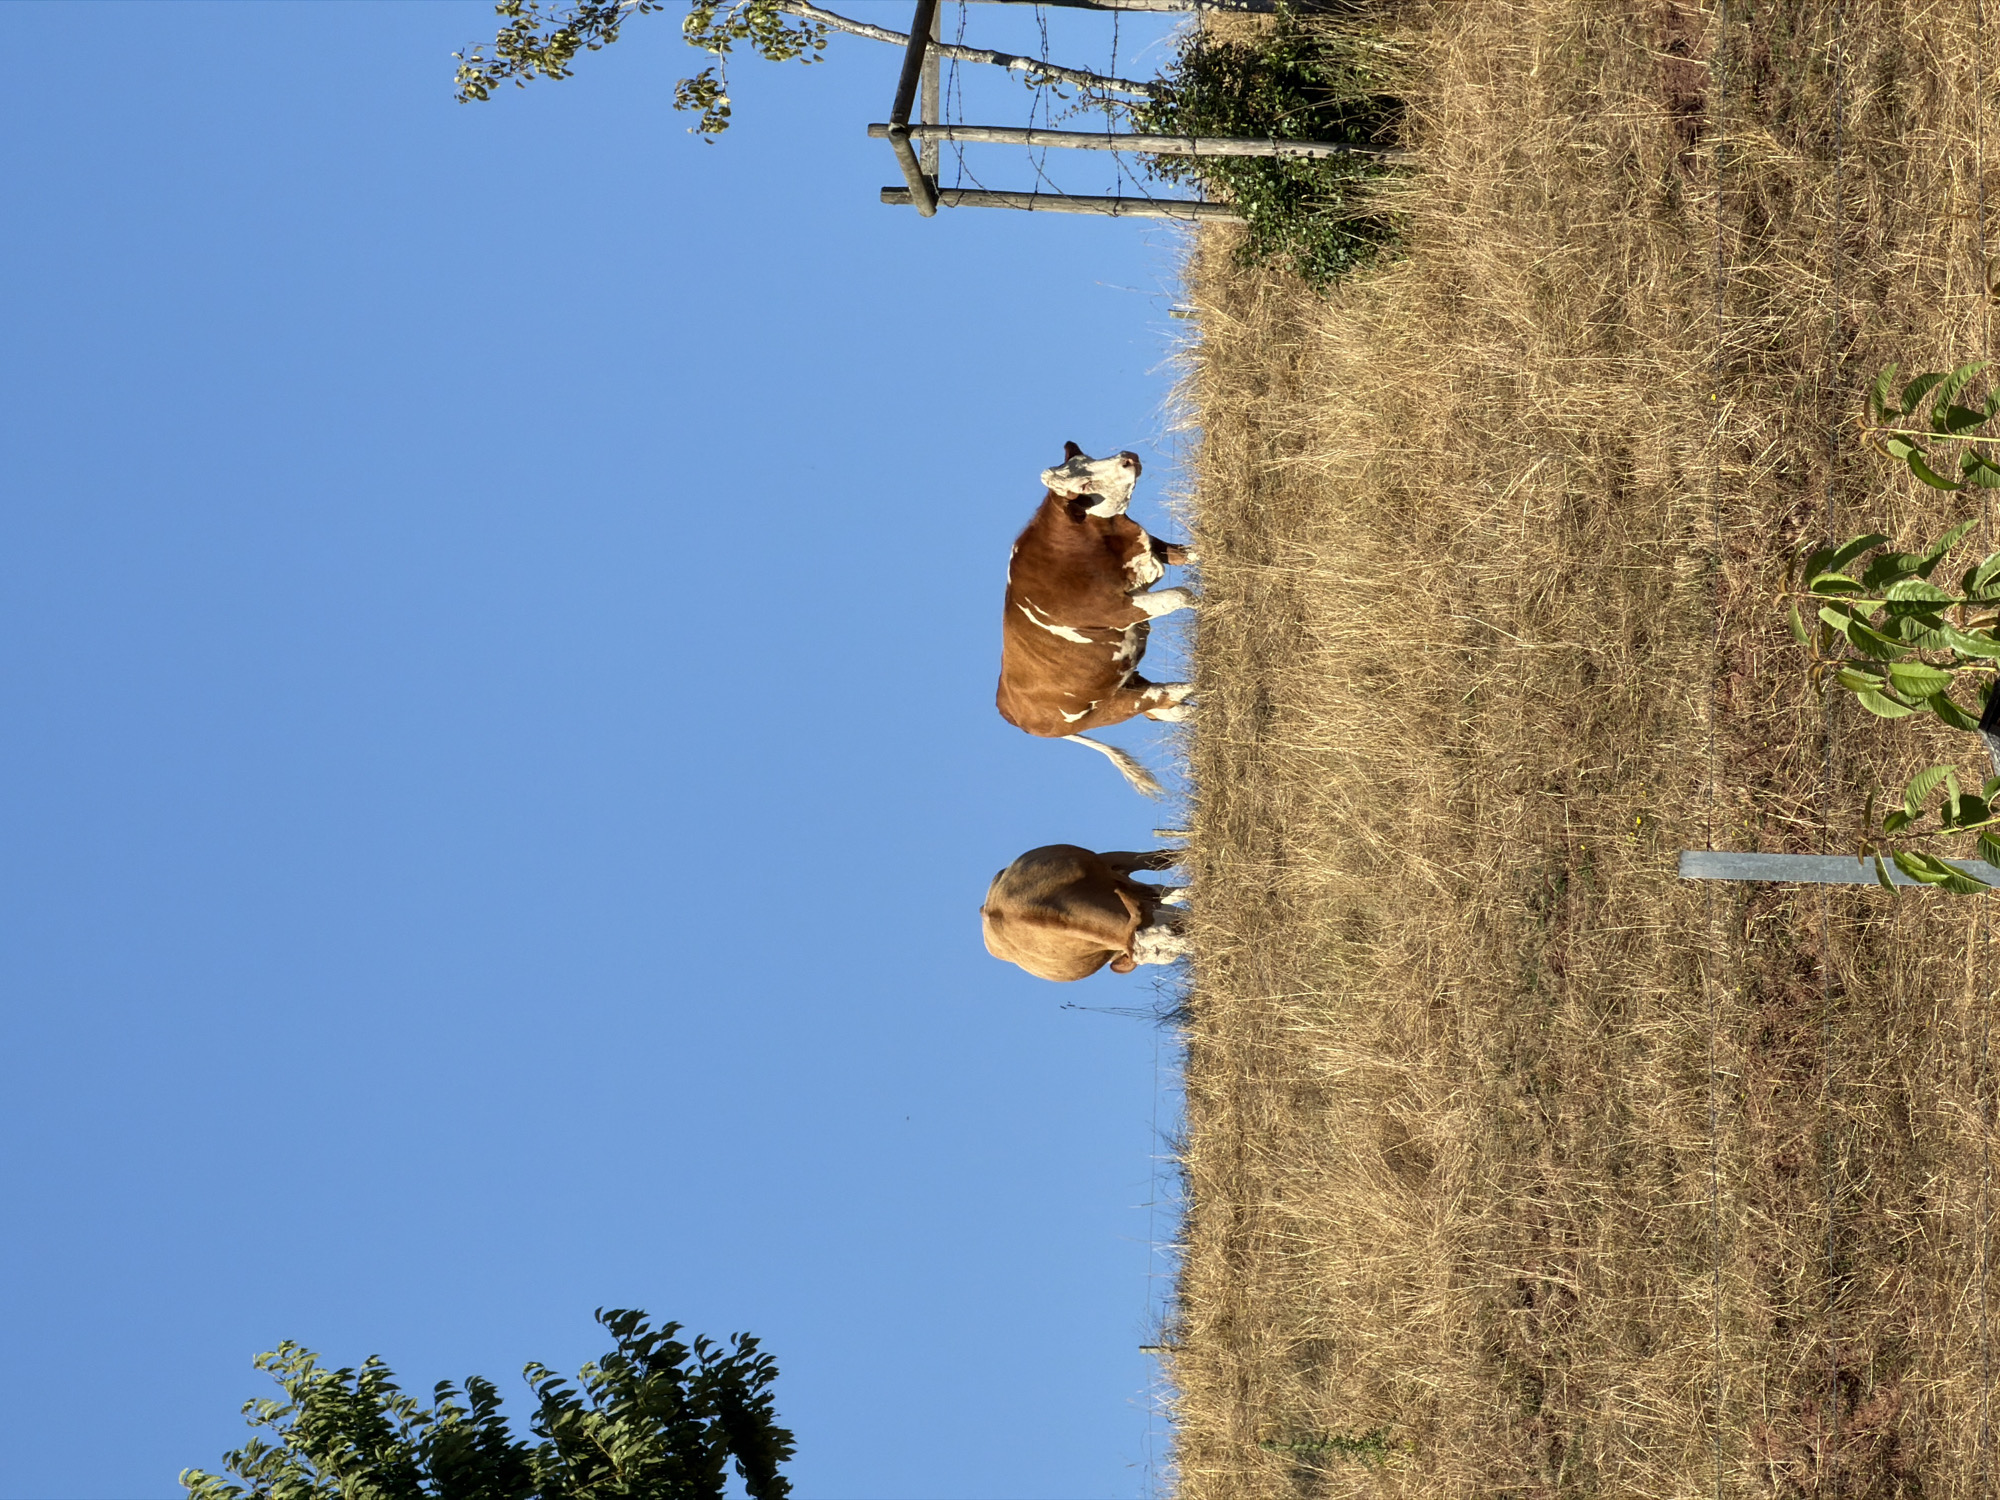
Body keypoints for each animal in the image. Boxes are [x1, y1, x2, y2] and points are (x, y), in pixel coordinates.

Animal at [997, 443, 1197, 797]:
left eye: (1086, 459)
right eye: (1084, 486)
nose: (1127, 457)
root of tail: (1012, 712)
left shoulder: (1153, 548)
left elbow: (1191, 553)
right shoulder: (1122, 610)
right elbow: (1182, 596)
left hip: (1123, 679)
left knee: (1163, 709)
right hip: (1107, 709)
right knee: (1162, 697)